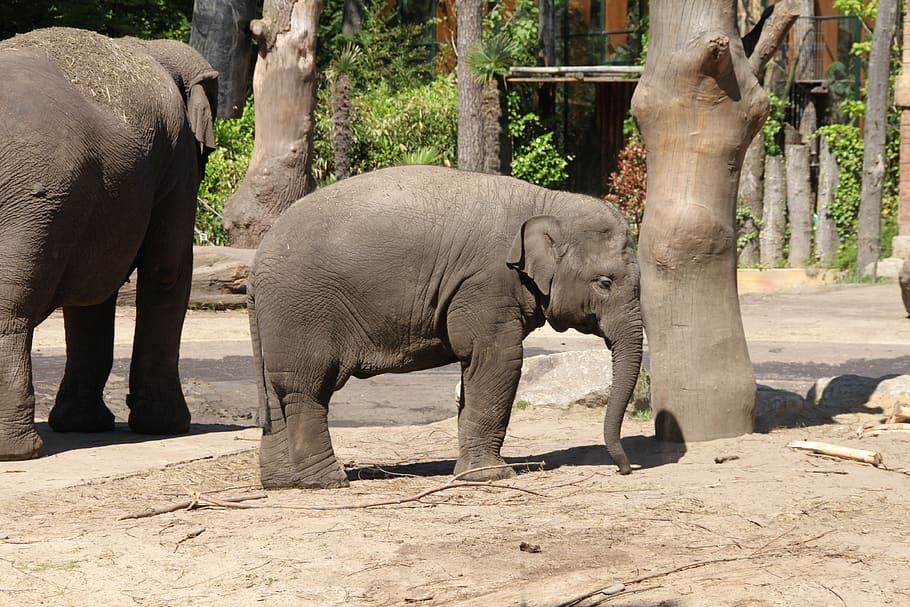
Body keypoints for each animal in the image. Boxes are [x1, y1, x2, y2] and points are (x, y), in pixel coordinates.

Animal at [0, 27, 219, 460]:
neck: (149, 46)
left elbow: (91, 296)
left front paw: (81, 425)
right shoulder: (177, 159)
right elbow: (167, 269)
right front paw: (169, 427)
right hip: (30, 200)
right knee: (10, 309)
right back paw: (17, 451)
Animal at [249, 166, 644, 490]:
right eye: (605, 283)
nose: (625, 469)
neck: (545, 200)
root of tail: (255, 263)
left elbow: (476, 369)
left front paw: (471, 472)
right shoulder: (486, 285)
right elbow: (497, 359)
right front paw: (493, 476)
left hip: (278, 321)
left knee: (275, 391)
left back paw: (282, 482)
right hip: (301, 311)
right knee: (306, 388)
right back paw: (327, 481)